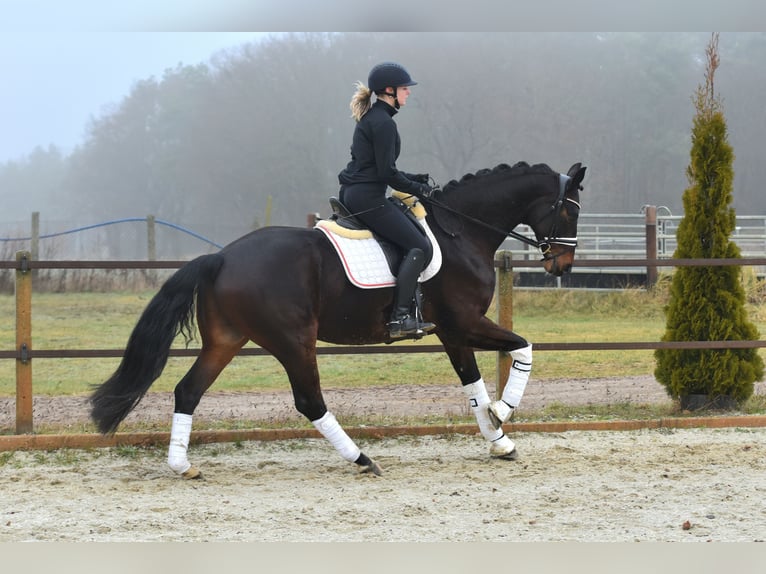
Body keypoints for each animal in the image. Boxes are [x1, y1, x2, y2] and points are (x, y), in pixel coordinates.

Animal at [90, 160, 588, 480]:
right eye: (568, 209)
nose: (561, 265)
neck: (461, 231)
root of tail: (222, 257)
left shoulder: (452, 332)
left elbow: (472, 384)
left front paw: (498, 439)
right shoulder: (462, 323)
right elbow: (523, 348)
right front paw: (501, 414)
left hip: (226, 341)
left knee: (188, 391)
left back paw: (181, 466)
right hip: (294, 341)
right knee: (310, 401)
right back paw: (362, 459)